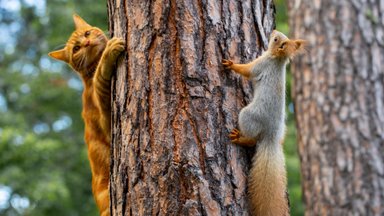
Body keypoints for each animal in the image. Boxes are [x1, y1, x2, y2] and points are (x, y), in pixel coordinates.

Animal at [47, 14, 124, 215]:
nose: (87, 42)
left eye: (87, 34)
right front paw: (108, 53)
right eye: (76, 48)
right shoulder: (107, 122)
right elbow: (100, 78)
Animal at [222, 30, 306, 216]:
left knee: (252, 139)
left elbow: (246, 70)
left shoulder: (261, 64)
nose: (273, 31)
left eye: (275, 39)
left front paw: (231, 64)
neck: (277, 60)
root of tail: (271, 135)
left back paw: (240, 138)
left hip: (248, 115)